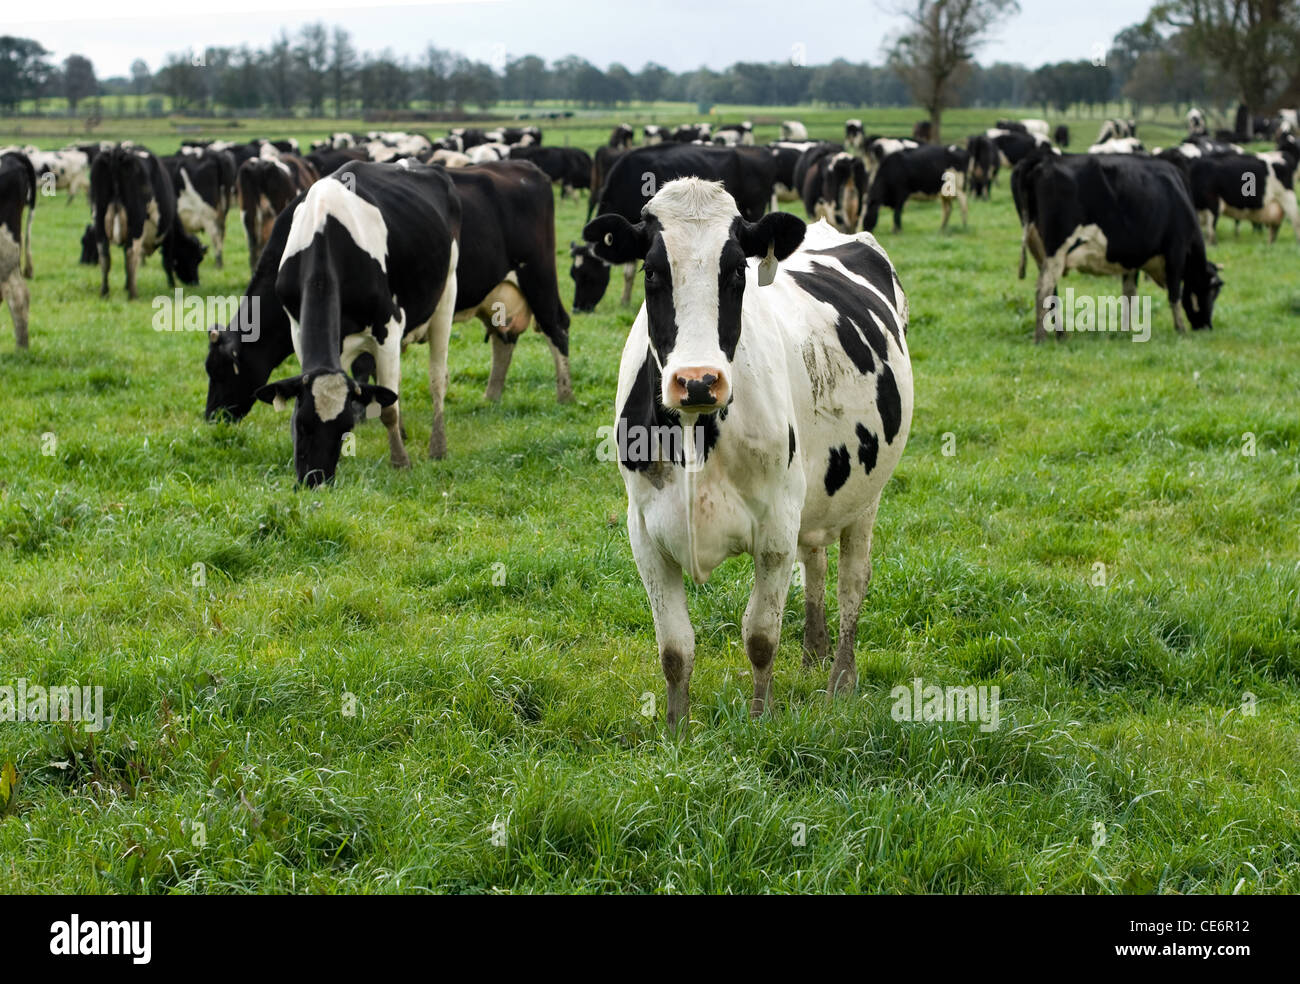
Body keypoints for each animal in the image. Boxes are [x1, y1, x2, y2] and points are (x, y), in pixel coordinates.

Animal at [89, 143, 204, 298]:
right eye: (196, 258)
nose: (195, 282)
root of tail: (117, 151)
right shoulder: (169, 233)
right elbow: (167, 261)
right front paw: (172, 285)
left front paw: (126, 285)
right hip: (136, 220)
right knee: (131, 252)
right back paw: (133, 295)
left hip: (100, 217)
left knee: (104, 254)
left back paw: (105, 292)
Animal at [250, 162, 460, 488]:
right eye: (301, 423)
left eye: (345, 428)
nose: (315, 481)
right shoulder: (297, 328)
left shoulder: (389, 327)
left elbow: (388, 409)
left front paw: (400, 462)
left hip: (447, 293)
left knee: (437, 379)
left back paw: (437, 447)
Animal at [585, 176, 909, 727]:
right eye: (652, 270)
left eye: (736, 270)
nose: (697, 381)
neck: (695, 438)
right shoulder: (643, 531)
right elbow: (675, 648)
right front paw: (676, 731)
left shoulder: (776, 524)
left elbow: (760, 636)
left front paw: (760, 720)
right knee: (816, 560)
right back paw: (814, 652)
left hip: (864, 497)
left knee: (853, 581)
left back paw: (840, 680)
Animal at [1008, 148, 1222, 340]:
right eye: (1212, 292)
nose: (1207, 327)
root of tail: (1043, 159)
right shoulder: (1176, 251)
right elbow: (1174, 294)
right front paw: (1181, 330)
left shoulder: (1133, 259)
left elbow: (1129, 294)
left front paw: (1126, 331)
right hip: (1057, 249)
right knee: (1043, 289)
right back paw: (1041, 338)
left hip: (1041, 251)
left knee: (1052, 291)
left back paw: (1061, 335)